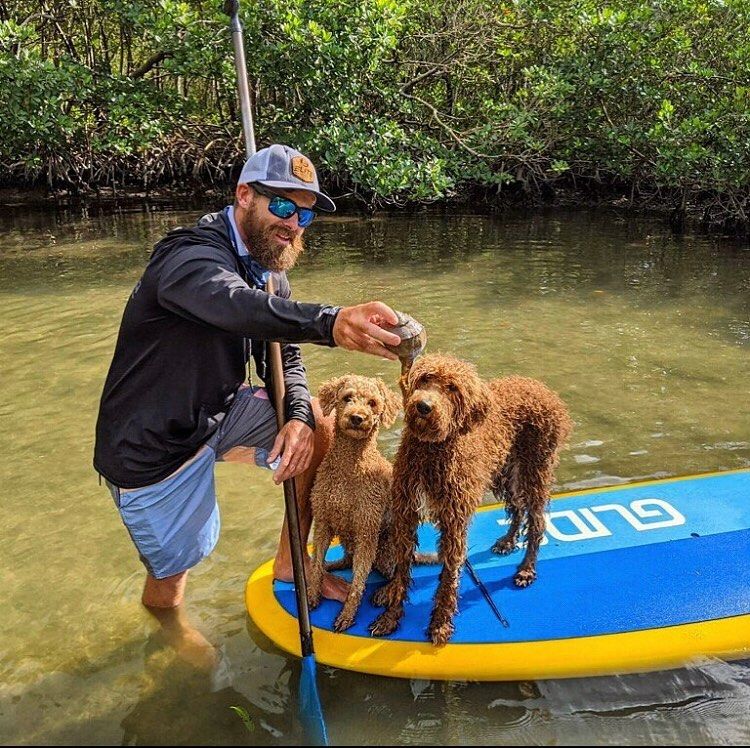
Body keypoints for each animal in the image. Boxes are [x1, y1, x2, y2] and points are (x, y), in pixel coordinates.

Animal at [306, 374, 402, 632]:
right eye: (347, 397)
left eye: (372, 403)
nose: (357, 418)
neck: (350, 468)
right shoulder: (323, 522)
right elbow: (316, 567)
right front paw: (312, 596)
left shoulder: (367, 531)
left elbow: (358, 581)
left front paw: (347, 615)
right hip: (346, 536)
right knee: (345, 559)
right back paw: (330, 565)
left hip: (385, 550)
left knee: (397, 573)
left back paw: (385, 591)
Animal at [372, 354, 576, 644]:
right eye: (425, 378)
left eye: (452, 388)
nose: (423, 406)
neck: (431, 451)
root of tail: (542, 388)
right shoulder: (406, 516)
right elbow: (401, 573)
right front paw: (390, 618)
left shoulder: (454, 523)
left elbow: (448, 581)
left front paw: (440, 625)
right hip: (504, 472)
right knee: (517, 508)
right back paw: (508, 541)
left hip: (535, 470)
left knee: (536, 522)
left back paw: (526, 569)